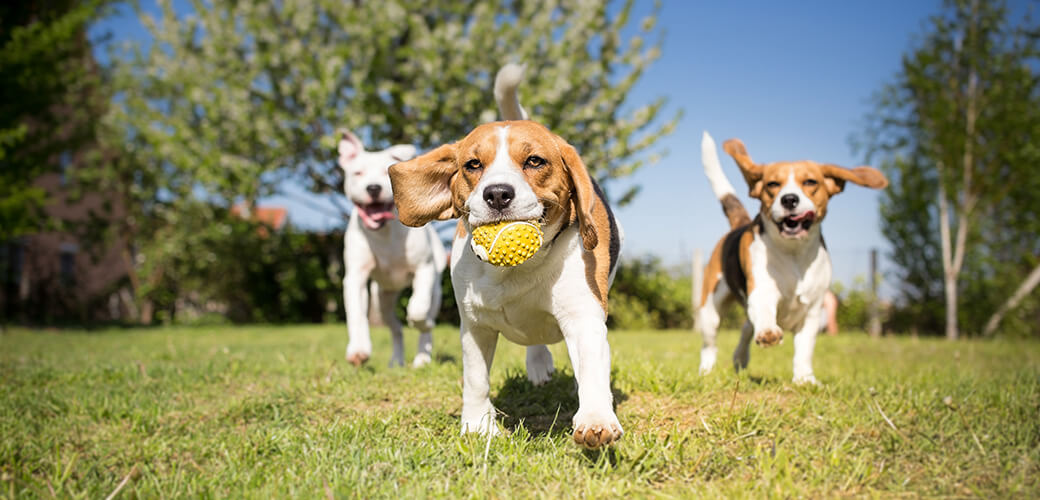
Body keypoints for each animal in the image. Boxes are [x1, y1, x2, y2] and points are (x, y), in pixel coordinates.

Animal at [336, 129, 443, 365]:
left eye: (386, 173)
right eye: (358, 173)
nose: (373, 187)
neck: (383, 232)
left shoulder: (424, 269)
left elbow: (418, 309)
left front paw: (421, 322)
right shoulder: (355, 277)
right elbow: (356, 315)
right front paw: (358, 350)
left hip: (435, 290)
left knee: (425, 319)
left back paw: (422, 358)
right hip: (382, 299)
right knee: (395, 328)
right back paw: (396, 361)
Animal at [386, 64, 619, 446]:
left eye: (535, 161)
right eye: (472, 164)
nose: (497, 193)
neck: (516, 270)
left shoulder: (583, 316)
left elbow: (591, 371)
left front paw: (595, 418)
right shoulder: (474, 325)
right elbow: (476, 380)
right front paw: (478, 425)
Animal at [694, 131, 890, 382]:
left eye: (810, 182)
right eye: (772, 184)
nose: (788, 199)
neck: (794, 253)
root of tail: (740, 224)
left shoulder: (813, 310)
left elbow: (804, 349)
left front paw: (805, 379)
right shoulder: (762, 290)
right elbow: (764, 312)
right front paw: (769, 332)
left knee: (747, 327)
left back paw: (740, 358)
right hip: (710, 309)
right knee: (710, 344)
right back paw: (706, 371)